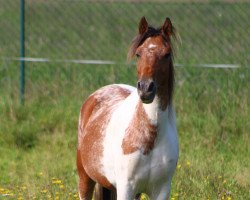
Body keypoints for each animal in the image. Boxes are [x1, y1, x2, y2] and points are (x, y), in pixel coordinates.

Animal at [77, 16, 179, 199]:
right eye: (138, 53)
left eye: (167, 54)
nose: (146, 89)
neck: (150, 138)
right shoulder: (126, 187)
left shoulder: (161, 190)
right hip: (85, 179)